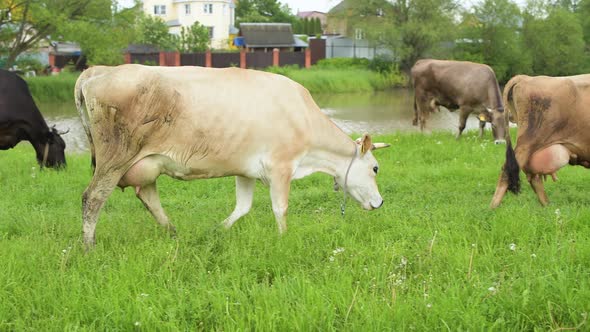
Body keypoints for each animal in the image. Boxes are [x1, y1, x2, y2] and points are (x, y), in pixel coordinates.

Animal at [76, 65, 390, 248]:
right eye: (375, 168)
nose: (380, 202)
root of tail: (97, 70)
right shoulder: (281, 166)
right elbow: (280, 208)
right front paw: (283, 238)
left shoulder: (246, 170)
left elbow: (243, 207)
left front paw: (217, 231)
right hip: (114, 157)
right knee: (93, 198)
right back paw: (89, 246)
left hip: (145, 164)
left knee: (149, 197)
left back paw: (174, 233)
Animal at [490, 74, 590, 208]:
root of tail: (525, 78)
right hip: (527, 142)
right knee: (507, 172)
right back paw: (492, 208)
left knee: (533, 176)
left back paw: (548, 206)